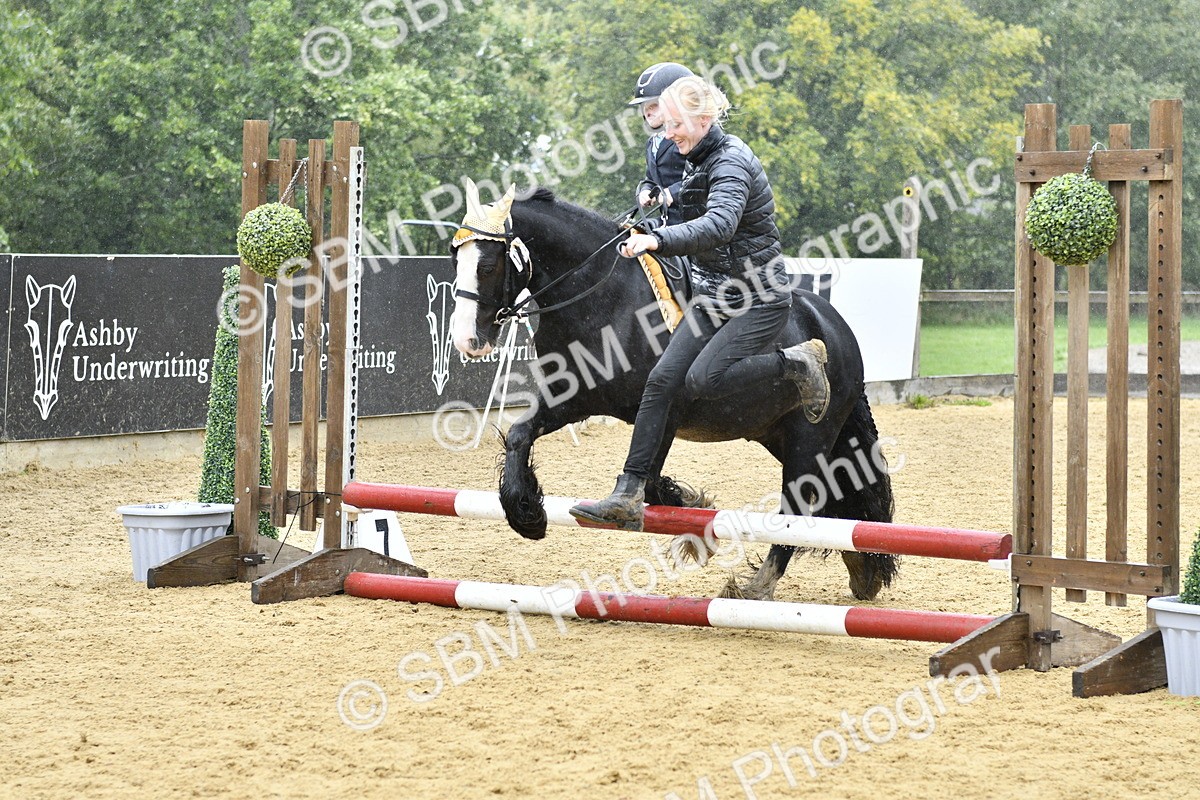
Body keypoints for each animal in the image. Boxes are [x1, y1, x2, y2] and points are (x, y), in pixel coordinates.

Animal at [448, 181, 897, 601]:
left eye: (486, 265)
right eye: (456, 260)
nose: (468, 340)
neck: (605, 297)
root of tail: (832, 327)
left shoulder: (664, 404)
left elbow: (647, 479)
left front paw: (693, 527)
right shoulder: (572, 400)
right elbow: (521, 435)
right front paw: (526, 513)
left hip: (810, 437)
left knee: (798, 505)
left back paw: (758, 587)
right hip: (778, 435)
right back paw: (862, 570)